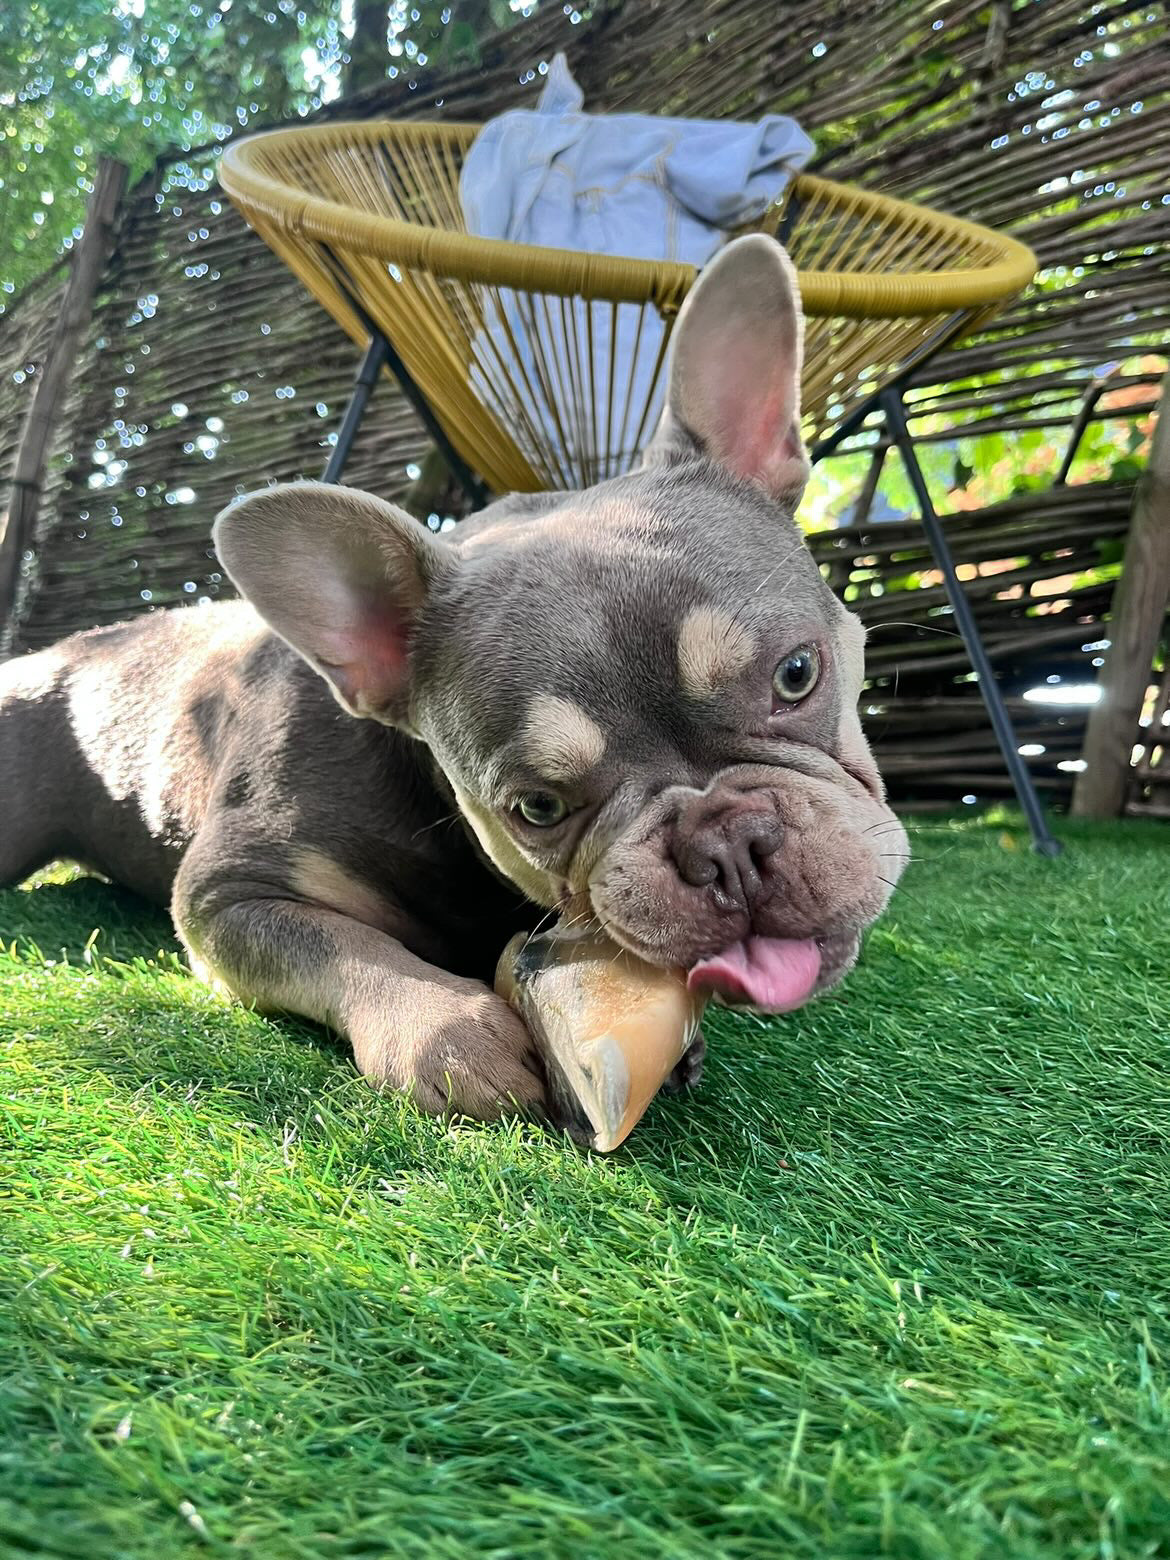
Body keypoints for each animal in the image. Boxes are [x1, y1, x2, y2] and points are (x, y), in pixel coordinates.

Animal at [0, 236, 907, 1124]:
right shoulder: (226, 894)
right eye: (537, 808)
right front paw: (446, 1028)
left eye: (797, 674)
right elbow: (341, 944)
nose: (724, 845)